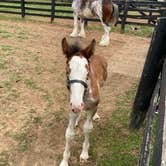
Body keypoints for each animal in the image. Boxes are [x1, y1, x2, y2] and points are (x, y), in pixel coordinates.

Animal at [59, 38, 107, 166]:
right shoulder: (72, 107)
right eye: (67, 71)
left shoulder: (91, 107)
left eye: (87, 73)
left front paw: (84, 154)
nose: (77, 105)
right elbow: (69, 134)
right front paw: (64, 161)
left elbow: (87, 128)